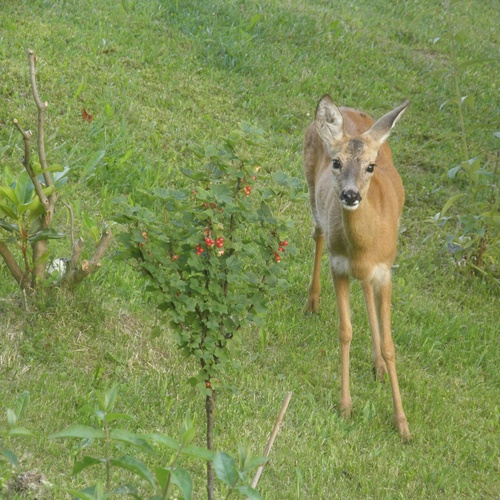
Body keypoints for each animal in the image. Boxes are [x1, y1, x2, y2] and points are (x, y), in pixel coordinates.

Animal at [302, 94, 412, 442]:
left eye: (370, 166)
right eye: (336, 162)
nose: (350, 195)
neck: (364, 246)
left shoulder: (386, 270)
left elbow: (391, 346)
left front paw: (403, 425)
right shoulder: (338, 266)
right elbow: (345, 331)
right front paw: (345, 406)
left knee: (365, 288)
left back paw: (377, 365)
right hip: (311, 190)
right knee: (317, 233)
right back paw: (312, 301)